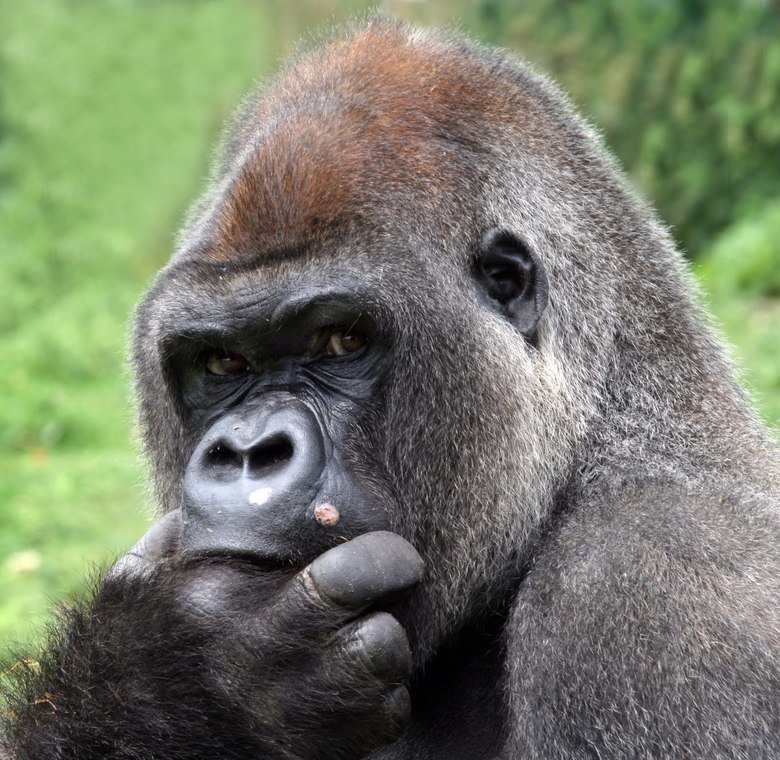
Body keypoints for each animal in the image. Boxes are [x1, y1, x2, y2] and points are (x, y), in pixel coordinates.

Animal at [2, 18, 778, 760]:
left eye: (341, 342)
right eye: (221, 364)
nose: (250, 452)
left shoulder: (648, 587)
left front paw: (199, 673)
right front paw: (161, 674)